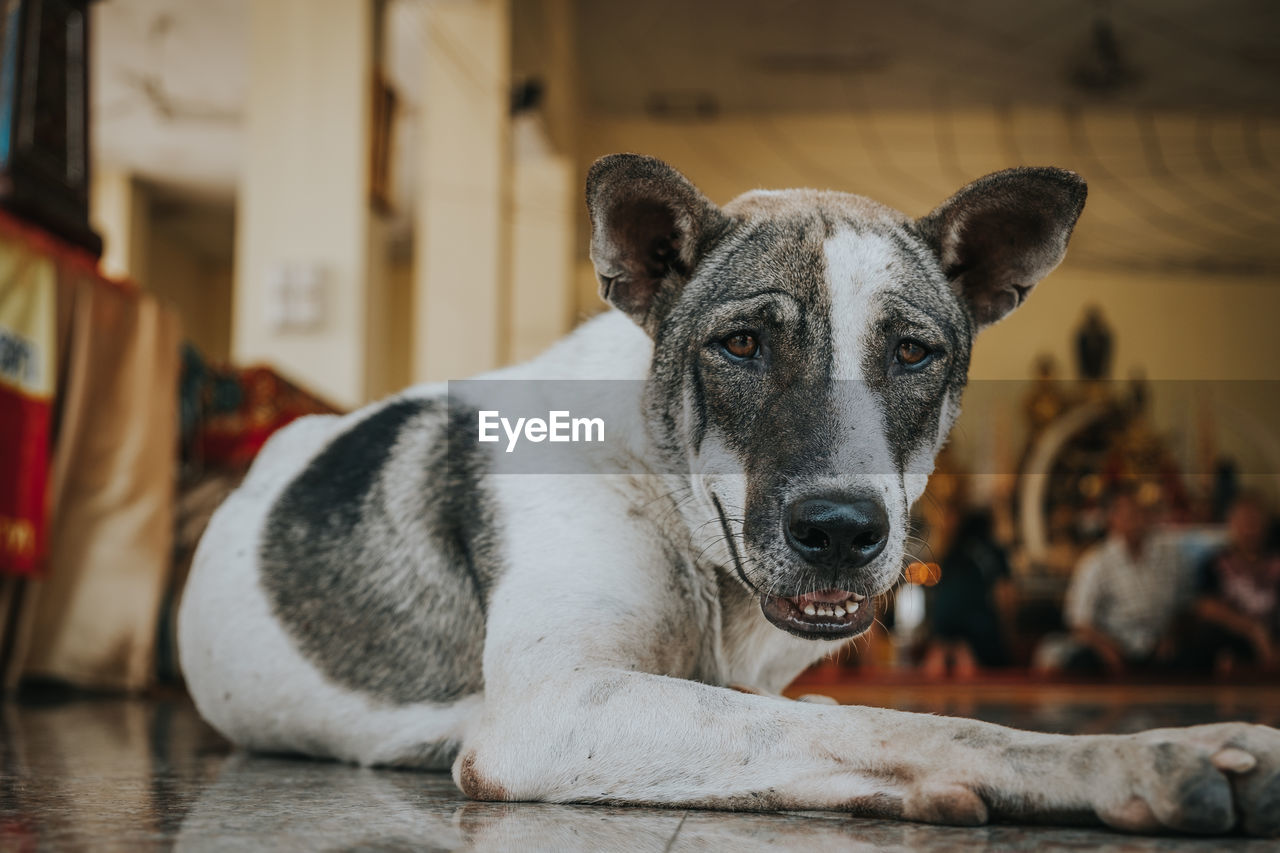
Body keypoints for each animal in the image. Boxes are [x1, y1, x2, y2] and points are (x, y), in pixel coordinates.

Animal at [180, 151, 1280, 829]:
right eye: (741, 344)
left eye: (913, 351)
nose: (838, 530)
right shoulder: (551, 705)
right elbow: (884, 721)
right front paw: (1133, 759)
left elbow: (811, 717)